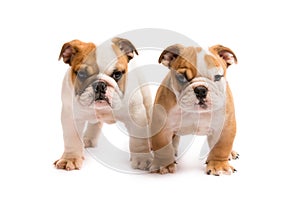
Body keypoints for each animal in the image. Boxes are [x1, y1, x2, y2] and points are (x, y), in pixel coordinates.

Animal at [54, 37, 152, 170]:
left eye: (117, 74)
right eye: (81, 74)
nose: (100, 85)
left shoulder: (136, 114)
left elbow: (139, 140)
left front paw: (142, 159)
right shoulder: (70, 116)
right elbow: (72, 139)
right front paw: (70, 158)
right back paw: (87, 139)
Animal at [151, 44, 238, 175]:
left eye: (218, 77)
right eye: (181, 77)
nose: (201, 90)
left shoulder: (225, 126)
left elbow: (221, 147)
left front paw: (219, 166)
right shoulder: (161, 125)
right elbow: (162, 146)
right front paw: (164, 164)